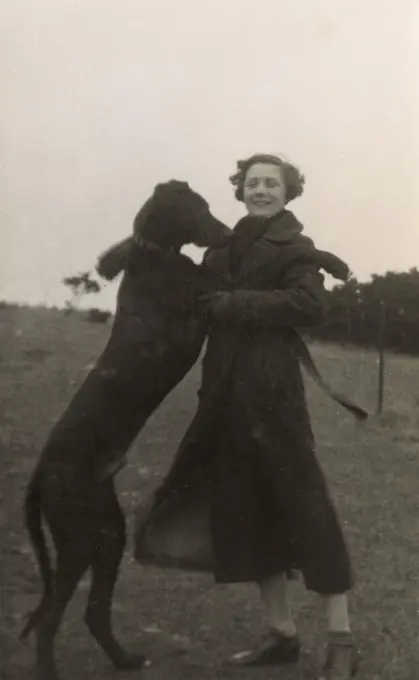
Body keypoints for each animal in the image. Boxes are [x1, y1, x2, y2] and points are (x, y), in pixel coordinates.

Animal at [19, 181, 231, 680]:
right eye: (199, 209)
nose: (229, 231)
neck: (153, 250)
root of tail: (39, 476)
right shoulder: (201, 301)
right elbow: (217, 272)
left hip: (108, 534)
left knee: (94, 611)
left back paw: (125, 659)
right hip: (77, 541)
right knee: (52, 617)